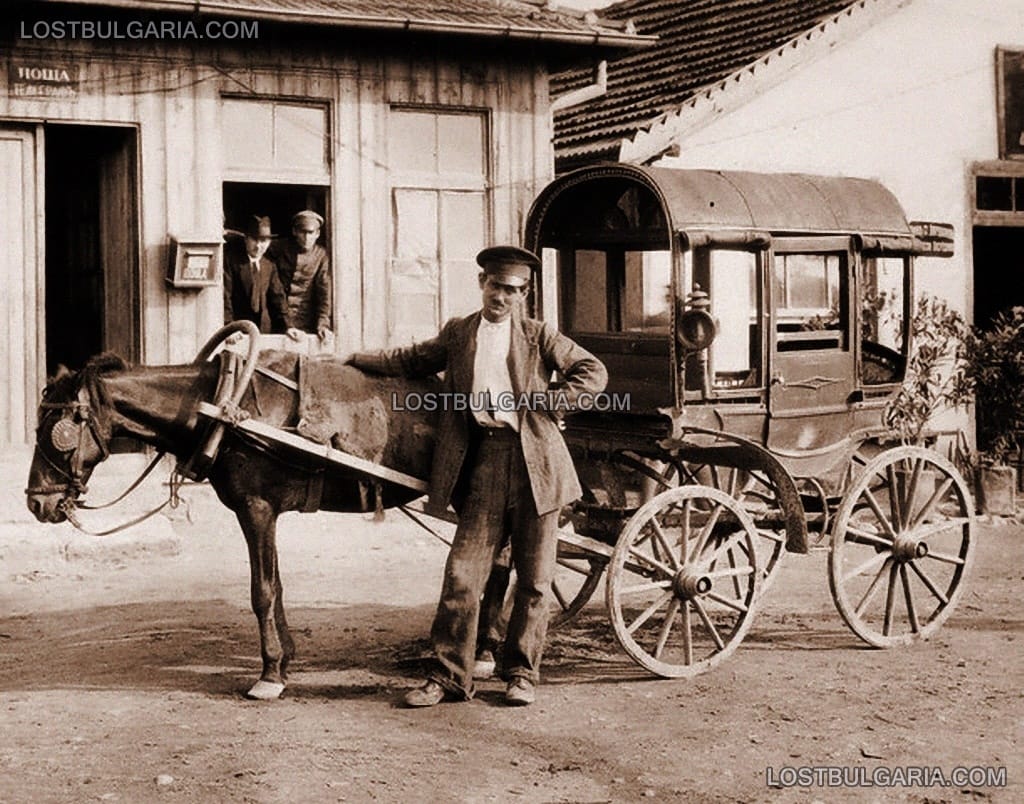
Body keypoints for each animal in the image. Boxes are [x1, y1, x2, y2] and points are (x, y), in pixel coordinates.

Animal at [25, 329, 438, 700]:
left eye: (55, 430)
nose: (35, 502)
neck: (222, 405)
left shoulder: (256, 508)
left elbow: (263, 592)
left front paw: (269, 674)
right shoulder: (266, 511)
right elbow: (277, 586)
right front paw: (284, 662)